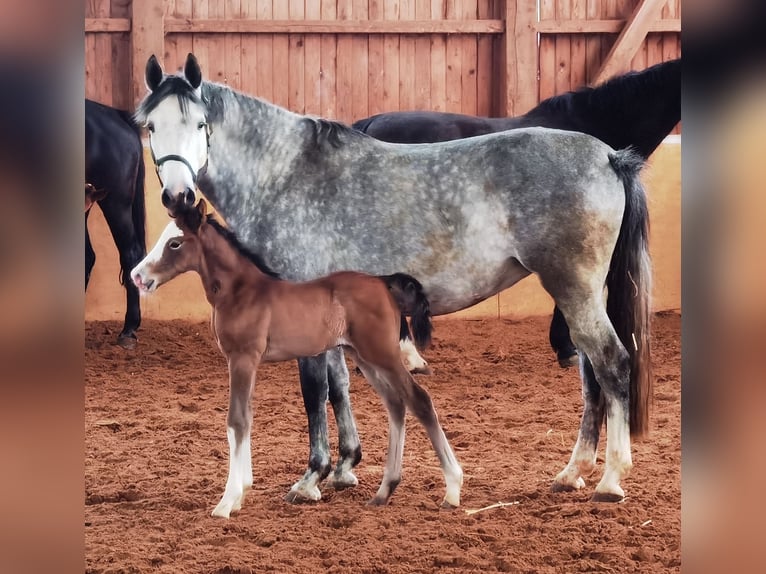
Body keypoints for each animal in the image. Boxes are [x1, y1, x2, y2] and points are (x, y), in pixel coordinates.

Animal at [130, 200, 462, 520]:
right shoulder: (245, 363)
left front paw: (227, 501)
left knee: (419, 400)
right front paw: (242, 493)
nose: (137, 276)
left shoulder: (242, 358)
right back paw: (384, 492)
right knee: (396, 404)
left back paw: (452, 490)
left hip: (382, 355)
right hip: (366, 358)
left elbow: (236, 421)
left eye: (175, 243)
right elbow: (247, 417)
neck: (241, 292)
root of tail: (384, 282)